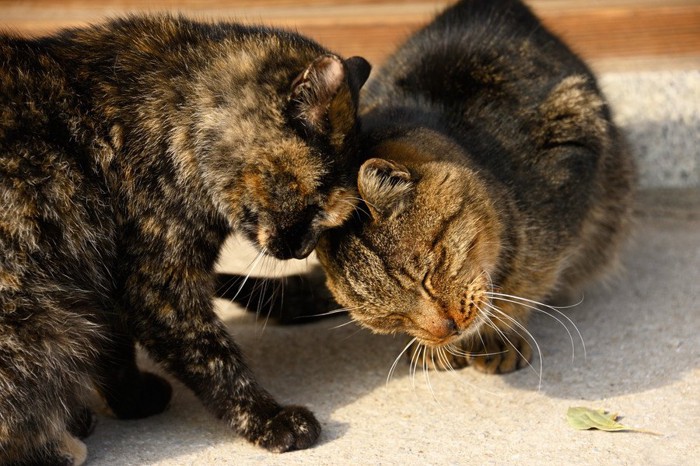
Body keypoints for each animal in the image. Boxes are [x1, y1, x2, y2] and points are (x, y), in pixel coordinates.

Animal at [0, 12, 372, 464]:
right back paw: (62, 444)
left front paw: (133, 400)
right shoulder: (159, 284)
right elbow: (213, 358)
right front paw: (271, 420)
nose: (301, 251)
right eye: (317, 203)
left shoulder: (106, 280)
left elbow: (113, 349)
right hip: (40, 319)